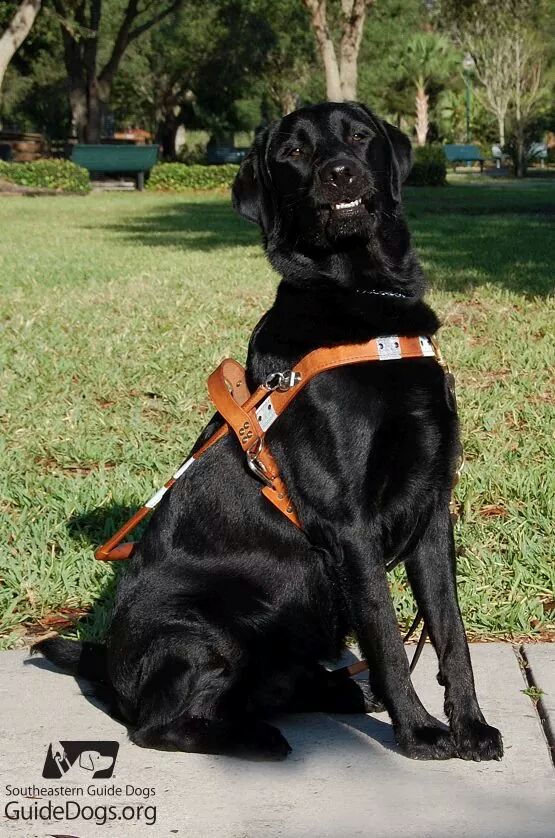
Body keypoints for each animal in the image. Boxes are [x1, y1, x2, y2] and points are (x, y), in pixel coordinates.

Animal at [35, 101, 504, 764]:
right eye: (294, 153)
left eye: (359, 136)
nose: (339, 172)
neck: (362, 300)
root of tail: (112, 669)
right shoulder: (347, 523)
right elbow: (388, 639)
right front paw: (418, 733)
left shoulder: (432, 509)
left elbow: (449, 633)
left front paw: (470, 727)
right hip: (209, 629)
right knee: (156, 726)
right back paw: (260, 740)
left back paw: (337, 694)